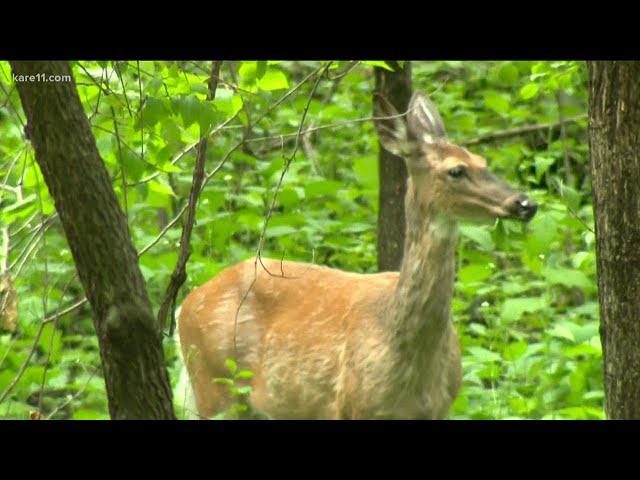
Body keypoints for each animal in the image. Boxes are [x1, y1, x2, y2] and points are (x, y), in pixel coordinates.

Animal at [176, 91, 540, 420]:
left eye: (483, 161)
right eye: (456, 170)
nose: (526, 203)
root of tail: (185, 304)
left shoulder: (438, 409)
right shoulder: (350, 405)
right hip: (214, 386)